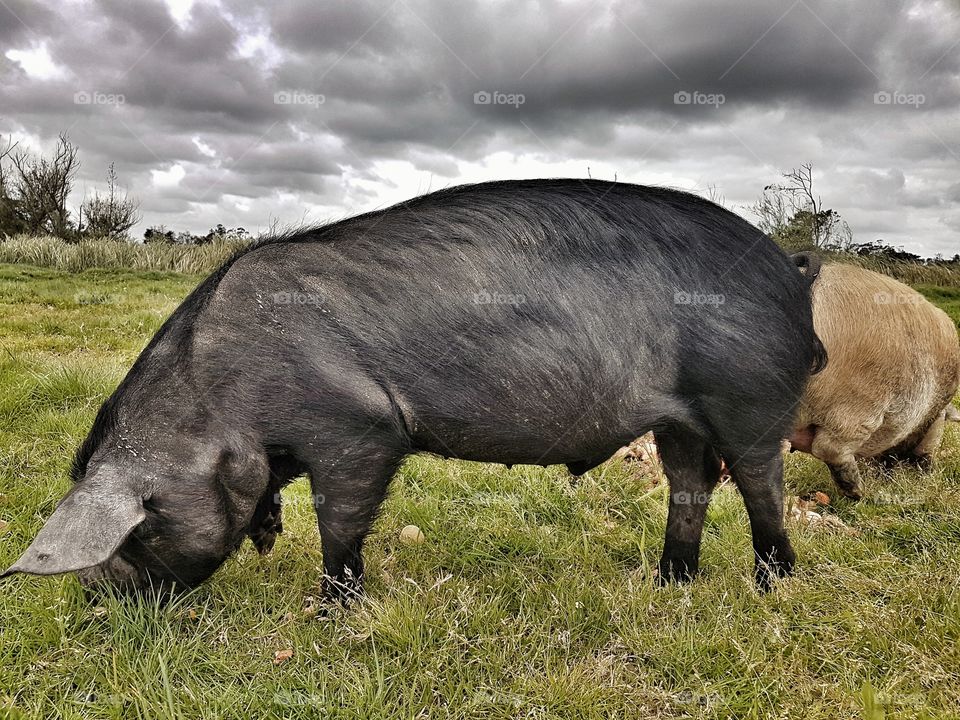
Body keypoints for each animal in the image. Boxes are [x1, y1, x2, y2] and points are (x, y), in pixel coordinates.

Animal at [0, 179, 824, 596]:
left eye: (138, 532)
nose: (96, 599)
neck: (219, 398)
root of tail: (792, 273)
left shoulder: (361, 429)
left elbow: (340, 525)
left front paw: (333, 610)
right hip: (678, 416)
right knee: (692, 482)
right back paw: (670, 584)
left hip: (750, 396)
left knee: (759, 481)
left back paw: (771, 586)